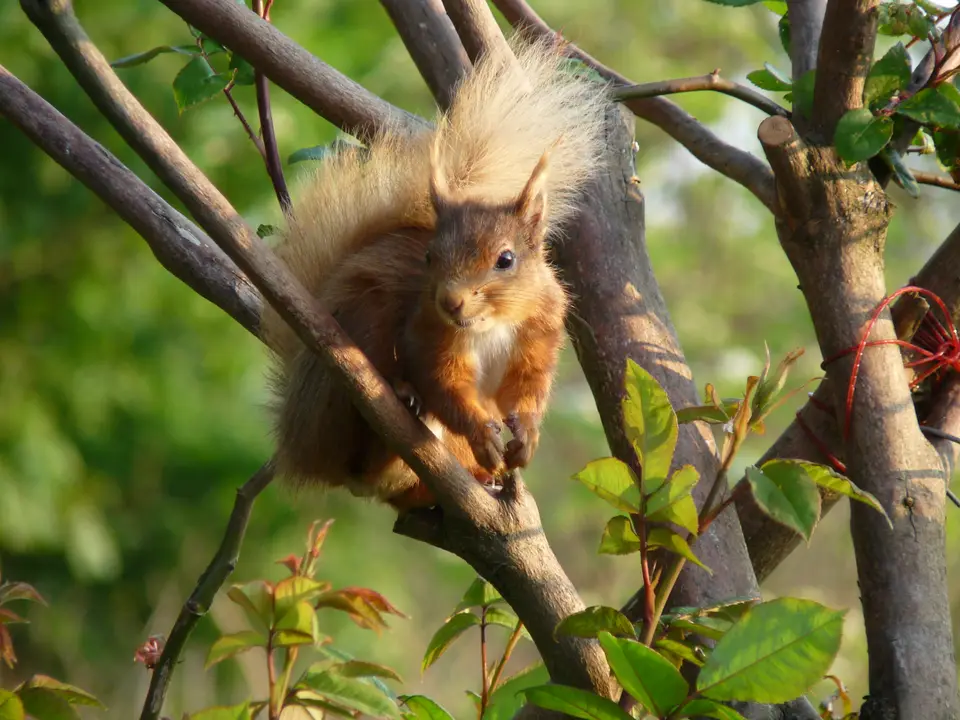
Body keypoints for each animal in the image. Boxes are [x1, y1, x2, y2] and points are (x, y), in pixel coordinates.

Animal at [261, 35, 612, 511]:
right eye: (429, 257)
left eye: (506, 260)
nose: (450, 301)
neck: (492, 323)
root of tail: (304, 444)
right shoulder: (427, 336)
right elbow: (445, 386)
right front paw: (481, 433)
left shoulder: (539, 333)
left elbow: (525, 390)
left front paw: (526, 436)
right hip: (361, 327)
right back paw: (403, 401)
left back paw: (476, 477)